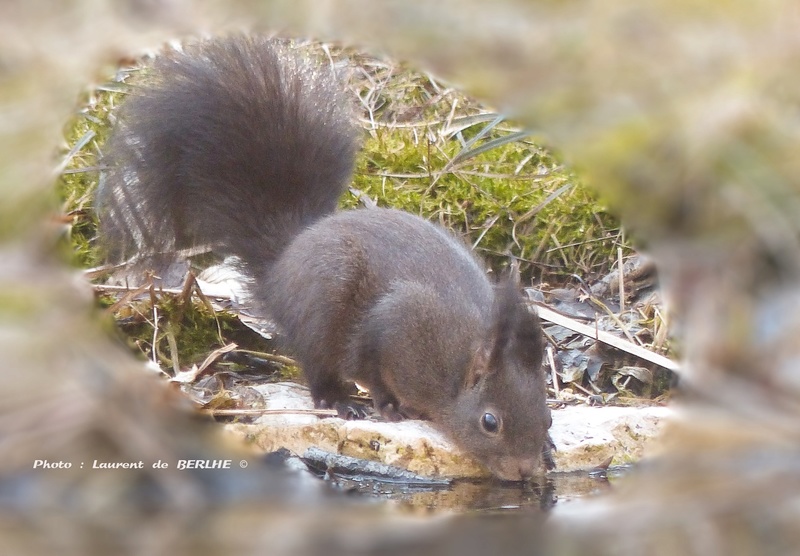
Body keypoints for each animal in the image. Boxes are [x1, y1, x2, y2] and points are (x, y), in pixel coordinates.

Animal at [97, 33, 552, 482]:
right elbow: (373, 367)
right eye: (490, 422)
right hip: (324, 302)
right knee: (317, 363)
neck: (459, 368)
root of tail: (285, 261)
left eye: (547, 417)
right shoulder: (397, 324)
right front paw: (388, 404)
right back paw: (338, 399)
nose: (523, 471)